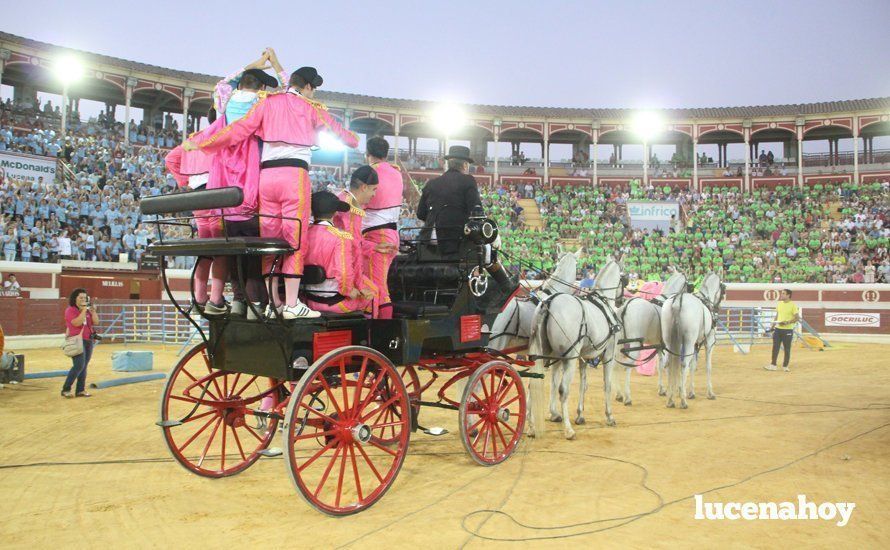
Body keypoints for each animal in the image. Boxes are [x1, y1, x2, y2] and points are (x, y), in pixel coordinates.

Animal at [524, 258, 620, 440]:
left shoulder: (585, 357)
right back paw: (568, 430)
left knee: (532, 384)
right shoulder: (608, 355)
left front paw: (580, 415)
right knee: (563, 390)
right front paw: (610, 416)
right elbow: (608, 384)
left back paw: (531, 427)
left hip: (543, 355)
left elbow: (583, 384)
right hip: (569, 358)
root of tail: (548, 303)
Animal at [612, 274, 692, 408]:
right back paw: (627, 398)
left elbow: (661, 366)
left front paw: (662, 389)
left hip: (618, 345)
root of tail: (625, 307)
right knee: (627, 367)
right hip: (634, 345)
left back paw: (618, 394)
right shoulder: (667, 346)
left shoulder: (659, 346)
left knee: (615, 365)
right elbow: (668, 366)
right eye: (688, 284)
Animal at [660, 272, 720, 410]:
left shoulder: (695, 345)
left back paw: (670, 398)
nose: (717, 307)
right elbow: (708, 366)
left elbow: (693, 366)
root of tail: (677, 301)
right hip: (688, 341)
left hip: (669, 340)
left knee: (667, 363)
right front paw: (710, 393)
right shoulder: (709, 343)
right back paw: (682, 401)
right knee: (683, 365)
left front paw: (691, 392)